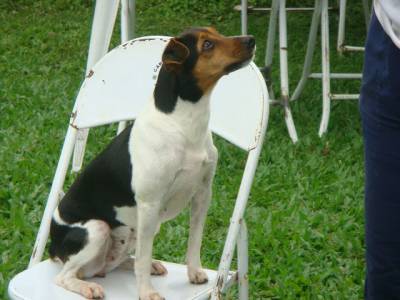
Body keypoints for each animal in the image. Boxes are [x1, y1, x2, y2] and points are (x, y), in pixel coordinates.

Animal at [49, 27, 256, 298]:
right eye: (207, 45)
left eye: (216, 33)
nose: (251, 40)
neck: (183, 122)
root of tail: (51, 247)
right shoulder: (149, 205)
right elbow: (143, 259)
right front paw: (146, 292)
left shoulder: (202, 193)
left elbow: (194, 241)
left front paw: (194, 272)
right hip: (98, 229)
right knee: (65, 276)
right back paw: (88, 287)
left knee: (116, 262)